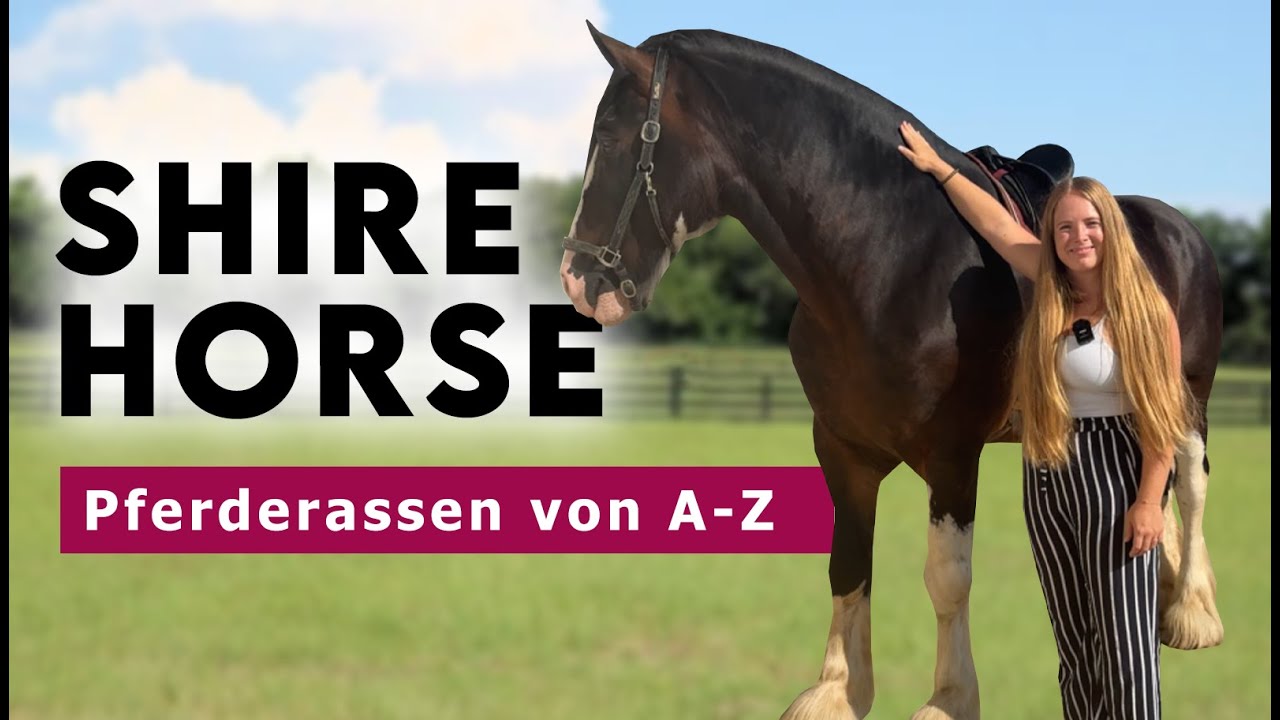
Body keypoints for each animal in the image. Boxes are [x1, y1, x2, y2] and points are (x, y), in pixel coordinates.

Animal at [559, 23, 1224, 720]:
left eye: (613, 138)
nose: (580, 280)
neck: (891, 256)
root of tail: (1176, 226)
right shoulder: (842, 448)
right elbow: (848, 563)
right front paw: (838, 689)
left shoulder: (954, 455)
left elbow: (947, 578)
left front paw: (950, 698)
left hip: (1189, 400)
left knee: (1190, 483)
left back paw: (1191, 614)